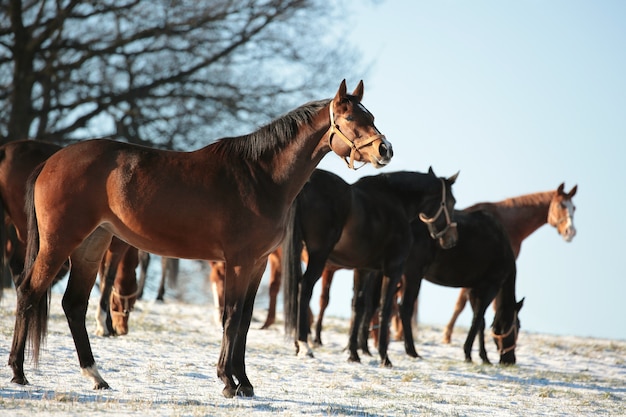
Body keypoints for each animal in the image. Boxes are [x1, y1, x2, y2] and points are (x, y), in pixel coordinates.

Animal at [8, 80, 390, 396]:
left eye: (370, 115)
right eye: (352, 118)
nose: (385, 150)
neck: (261, 177)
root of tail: (50, 162)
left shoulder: (258, 264)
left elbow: (245, 320)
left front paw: (245, 383)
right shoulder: (238, 262)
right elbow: (231, 316)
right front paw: (227, 381)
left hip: (92, 245)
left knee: (73, 304)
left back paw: (96, 376)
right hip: (59, 242)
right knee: (29, 292)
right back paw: (18, 372)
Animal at [282, 167, 458, 366]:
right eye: (451, 202)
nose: (451, 239)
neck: (397, 201)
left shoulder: (363, 269)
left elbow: (358, 306)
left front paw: (353, 354)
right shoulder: (393, 269)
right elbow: (385, 309)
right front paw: (384, 357)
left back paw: (299, 344)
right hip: (319, 256)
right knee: (305, 288)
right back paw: (304, 345)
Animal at [352, 208, 520, 364]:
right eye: (517, 327)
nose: (510, 360)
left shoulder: (473, 289)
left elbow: (480, 322)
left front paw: (480, 355)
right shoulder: (491, 286)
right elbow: (478, 319)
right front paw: (473, 355)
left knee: (371, 305)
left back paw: (364, 347)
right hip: (412, 274)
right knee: (404, 309)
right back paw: (411, 350)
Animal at [438, 184, 576, 342]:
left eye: (574, 207)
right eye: (560, 205)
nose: (571, 232)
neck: (507, 222)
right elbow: (462, 303)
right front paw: (447, 335)